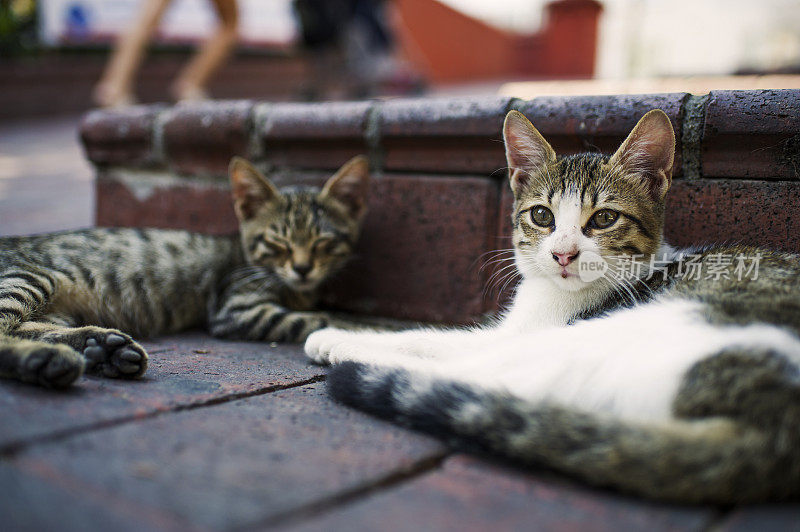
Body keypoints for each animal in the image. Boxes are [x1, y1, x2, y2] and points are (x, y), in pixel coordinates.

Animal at [0, 154, 368, 386]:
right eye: (278, 241)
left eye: (323, 241)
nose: (303, 269)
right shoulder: (235, 308)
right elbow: (323, 317)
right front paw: (366, 326)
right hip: (28, 277)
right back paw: (47, 360)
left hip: (54, 308)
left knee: (27, 327)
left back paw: (99, 349)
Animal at [304, 111, 800, 502]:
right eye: (542, 215)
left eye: (605, 218)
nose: (563, 254)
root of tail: (777, 429)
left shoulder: (536, 330)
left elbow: (440, 340)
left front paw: (339, 337)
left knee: (485, 376)